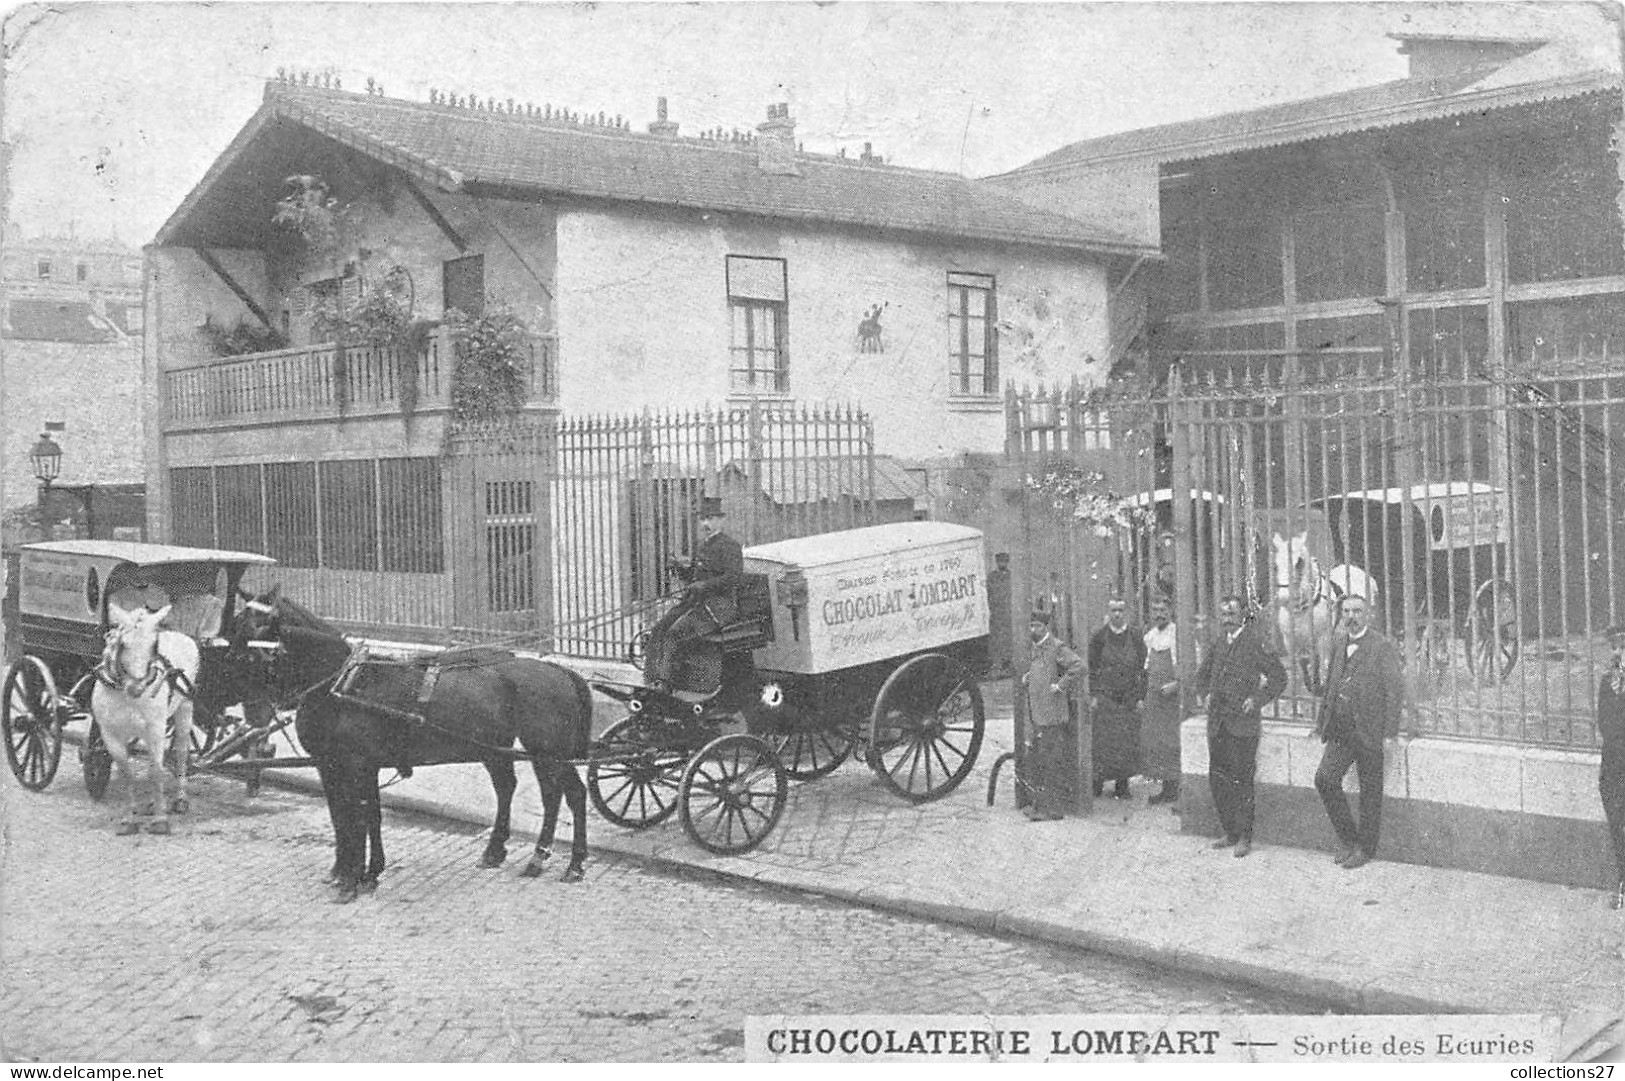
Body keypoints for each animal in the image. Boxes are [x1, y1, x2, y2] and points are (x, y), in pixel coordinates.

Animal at [92, 601, 201, 829]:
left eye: (154, 645)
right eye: (123, 643)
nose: (137, 688)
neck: (126, 695)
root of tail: (181, 635)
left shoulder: (155, 729)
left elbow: (156, 771)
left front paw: (161, 820)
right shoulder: (110, 734)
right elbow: (127, 772)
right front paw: (129, 817)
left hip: (185, 709)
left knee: (180, 754)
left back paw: (179, 799)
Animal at [237, 585, 594, 897]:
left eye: (257, 641)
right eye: (237, 627)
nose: (253, 711)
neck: (342, 683)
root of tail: (560, 671)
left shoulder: (357, 765)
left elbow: (359, 816)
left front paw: (354, 879)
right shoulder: (334, 766)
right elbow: (347, 815)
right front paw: (355, 872)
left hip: (547, 752)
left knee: (565, 795)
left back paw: (563, 862)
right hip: (500, 748)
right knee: (528, 790)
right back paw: (512, 853)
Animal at [1267, 529, 1384, 692]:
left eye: (1299, 562)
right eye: (1275, 565)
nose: (1284, 596)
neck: (1303, 610)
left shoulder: (1324, 640)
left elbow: (1324, 668)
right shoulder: (1291, 641)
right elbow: (1303, 666)